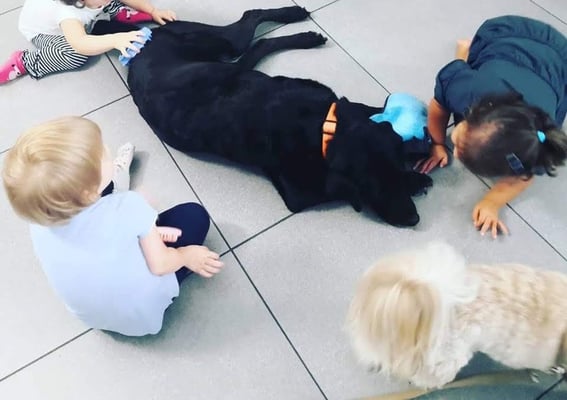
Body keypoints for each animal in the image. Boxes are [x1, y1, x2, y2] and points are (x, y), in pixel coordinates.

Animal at [92, 7, 433, 227]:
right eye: (371, 187)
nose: (414, 219)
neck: (322, 129)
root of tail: (135, 46)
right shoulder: (298, 193)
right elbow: (333, 184)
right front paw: (418, 175)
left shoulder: (339, 105)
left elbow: (374, 115)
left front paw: (420, 149)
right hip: (219, 45)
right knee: (252, 28)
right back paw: (299, 26)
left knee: (254, 35)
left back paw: (298, 22)